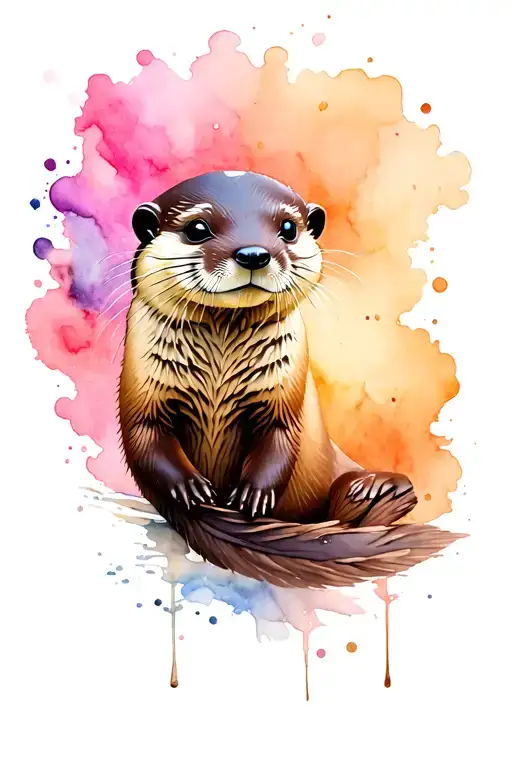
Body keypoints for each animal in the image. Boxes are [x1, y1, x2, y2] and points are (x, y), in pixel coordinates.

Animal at [119, 170, 462, 588]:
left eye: (287, 228)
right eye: (197, 228)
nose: (254, 254)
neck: (219, 371)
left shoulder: (285, 395)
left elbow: (280, 438)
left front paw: (251, 497)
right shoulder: (142, 387)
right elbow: (146, 437)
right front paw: (189, 488)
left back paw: (373, 487)